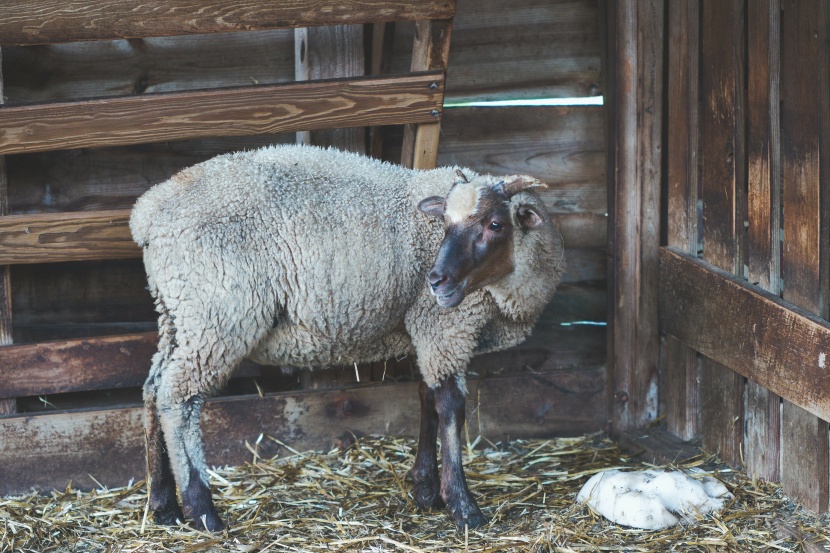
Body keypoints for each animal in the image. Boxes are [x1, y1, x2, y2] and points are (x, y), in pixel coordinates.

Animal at [132, 143, 564, 532]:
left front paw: (426, 491)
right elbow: (450, 406)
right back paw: (203, 510)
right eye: (445, 224)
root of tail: (148, 213)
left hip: (177, 313)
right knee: (179, 398)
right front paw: (462, 506)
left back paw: (163, 505)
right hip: (216, 314)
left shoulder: (425, 330)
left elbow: (426, 398)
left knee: (153, 389)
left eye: (495, 224)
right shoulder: (445, 325)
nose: (436, 281)